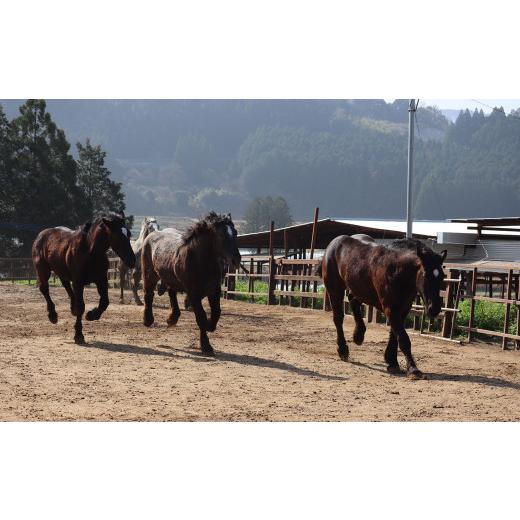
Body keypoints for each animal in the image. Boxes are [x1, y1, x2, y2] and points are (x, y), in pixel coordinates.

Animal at [31, 213, 135, 344]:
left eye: (129, 234)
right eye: (118, 235)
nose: (132, 260)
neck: (90, 251)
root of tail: (41, 235)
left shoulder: (101, 280)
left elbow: (104, 302)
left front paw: (91, 315)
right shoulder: (78, 281)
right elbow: (81, 306)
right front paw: (79, 335)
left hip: (62, 272)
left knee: (66, 285)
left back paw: (72, 308)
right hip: (43, 270)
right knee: (44, 288)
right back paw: (53, 315)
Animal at [141, 210, 241, 354]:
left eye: (235, 232)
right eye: (221, 234)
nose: (236, 260)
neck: (200, 261)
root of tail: (152, 235)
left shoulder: (214, 290)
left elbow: (216, 313)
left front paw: (210, 326)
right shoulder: (194, 293)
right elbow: (201, 317)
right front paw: (206, 346)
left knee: (171, 293)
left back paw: (172, 319)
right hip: (150, 274)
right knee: (148, 294)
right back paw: (148, 320)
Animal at [316, 236, 446, 378]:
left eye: (442, 276)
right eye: (426, 275)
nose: (434, 309)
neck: (396, 270)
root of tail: (332, 245)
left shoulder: (403, 308)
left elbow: (394, 335)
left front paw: (392, 361)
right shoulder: (390, 308)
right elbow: (403, 338)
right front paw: (413, 369)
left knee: (353, 301)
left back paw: (358, 335)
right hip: (335, 290)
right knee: (338, 318)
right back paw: (343, 349)